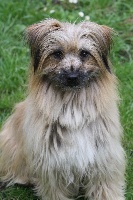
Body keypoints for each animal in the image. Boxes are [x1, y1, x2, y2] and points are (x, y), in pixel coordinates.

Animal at [0, 19, 125, 200]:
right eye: (57, 54)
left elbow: (106, 190)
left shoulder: (103, 162)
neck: (73, 106)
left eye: (84, 53)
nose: (72, 77)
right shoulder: (52, 168)